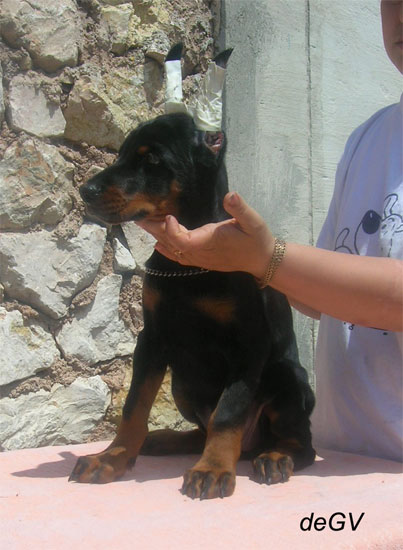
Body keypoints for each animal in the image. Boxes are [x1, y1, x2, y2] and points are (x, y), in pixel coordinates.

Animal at [70, 46, 315, 499]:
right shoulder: (152, 338)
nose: (85, 190)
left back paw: (274, 457)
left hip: (287, 376)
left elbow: (229, 411)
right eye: (121, 154)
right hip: (182, 384)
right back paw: (165, 440)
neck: (187, 267)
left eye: (152, 159)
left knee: (299, 442)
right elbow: (133, 407)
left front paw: (214, 469)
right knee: (200, 428)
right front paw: (111, 458)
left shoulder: (248, 345)